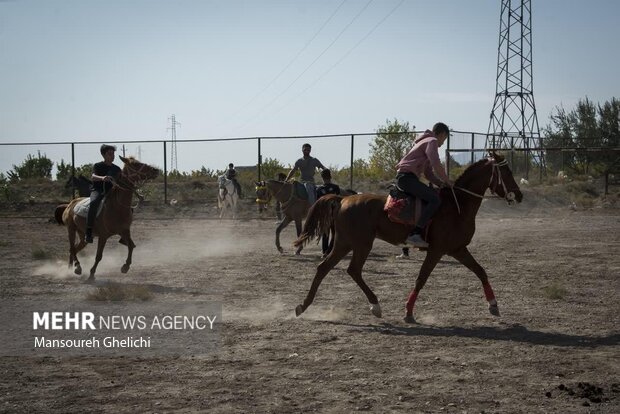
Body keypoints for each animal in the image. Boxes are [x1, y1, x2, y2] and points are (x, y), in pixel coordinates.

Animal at [294, 154, 524, 322]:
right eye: (506, 171)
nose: (519, 195)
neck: (457, 205)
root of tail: (343, 199)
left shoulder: (458, 249)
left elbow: (480, 271)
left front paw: (493, 305)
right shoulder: (437, 250)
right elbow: (421, 279)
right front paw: (408, 312)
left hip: (345, 243)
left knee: (327, 268)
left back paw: (304, 306)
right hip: (360, 244)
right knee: (351, 270)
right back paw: (374, 305)